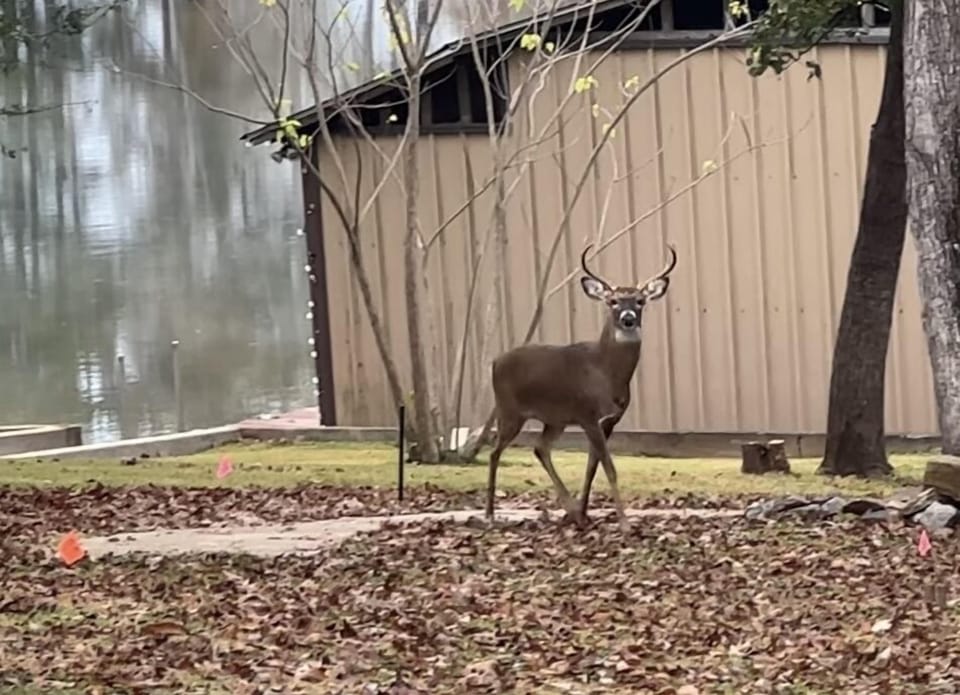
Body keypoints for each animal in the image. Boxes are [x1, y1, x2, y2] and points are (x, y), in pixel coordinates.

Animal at [485, 242, 677, 529]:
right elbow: (609, 467)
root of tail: (495, 362)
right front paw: (624, 523)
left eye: (640, 301)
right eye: (613, 301)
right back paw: (489, 514)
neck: (606, 373)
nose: (628, 319)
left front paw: (585, 513)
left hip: (554, 419)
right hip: (509, 411)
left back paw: (571, 511)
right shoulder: (587, 415)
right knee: (495, 452)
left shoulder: (609, 420)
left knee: (540, 448)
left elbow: (592, 466)